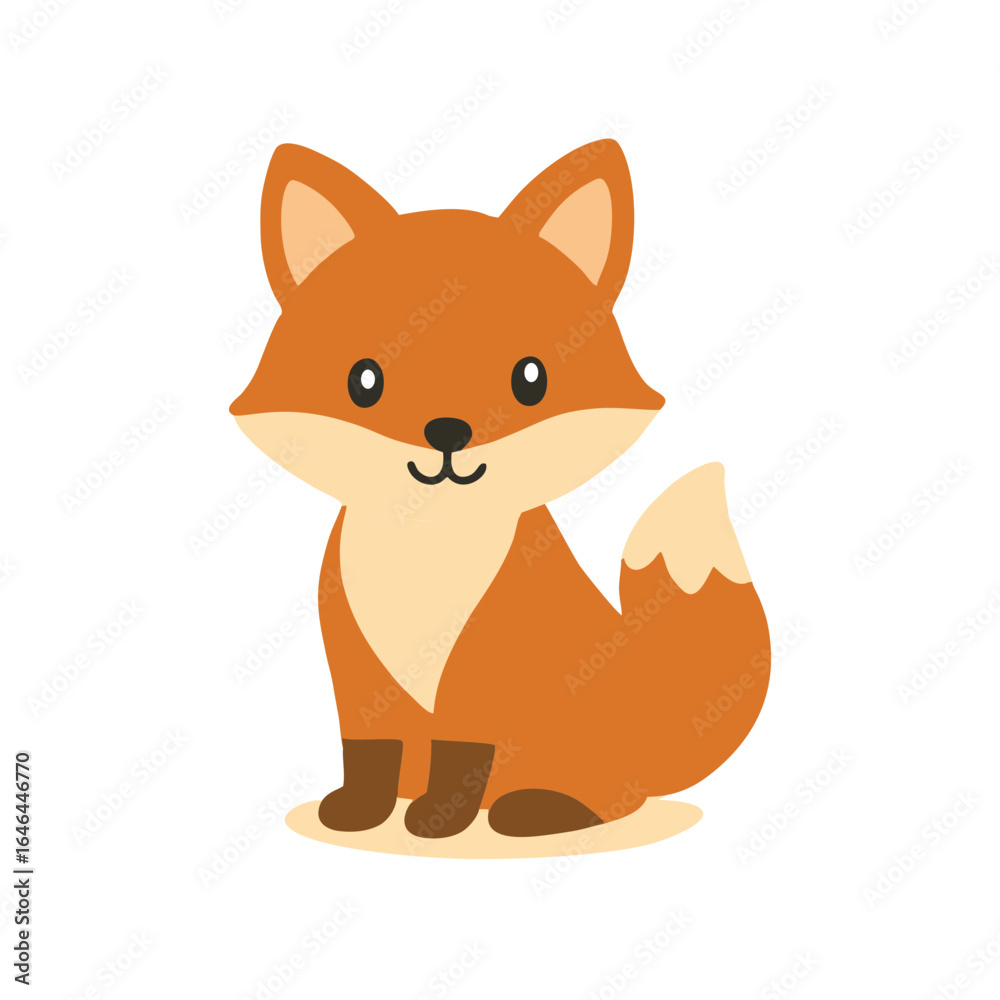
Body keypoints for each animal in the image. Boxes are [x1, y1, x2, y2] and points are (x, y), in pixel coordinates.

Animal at [230, 139, 770, 840]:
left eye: (530, 378)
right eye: (364, 381)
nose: (448, 432)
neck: (425, 553)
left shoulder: (482, 670)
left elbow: (461, 756)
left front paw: (438, 822)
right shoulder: (358, 674)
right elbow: (369, 753)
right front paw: (362, 811)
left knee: (613, 799)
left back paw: (539, 807)